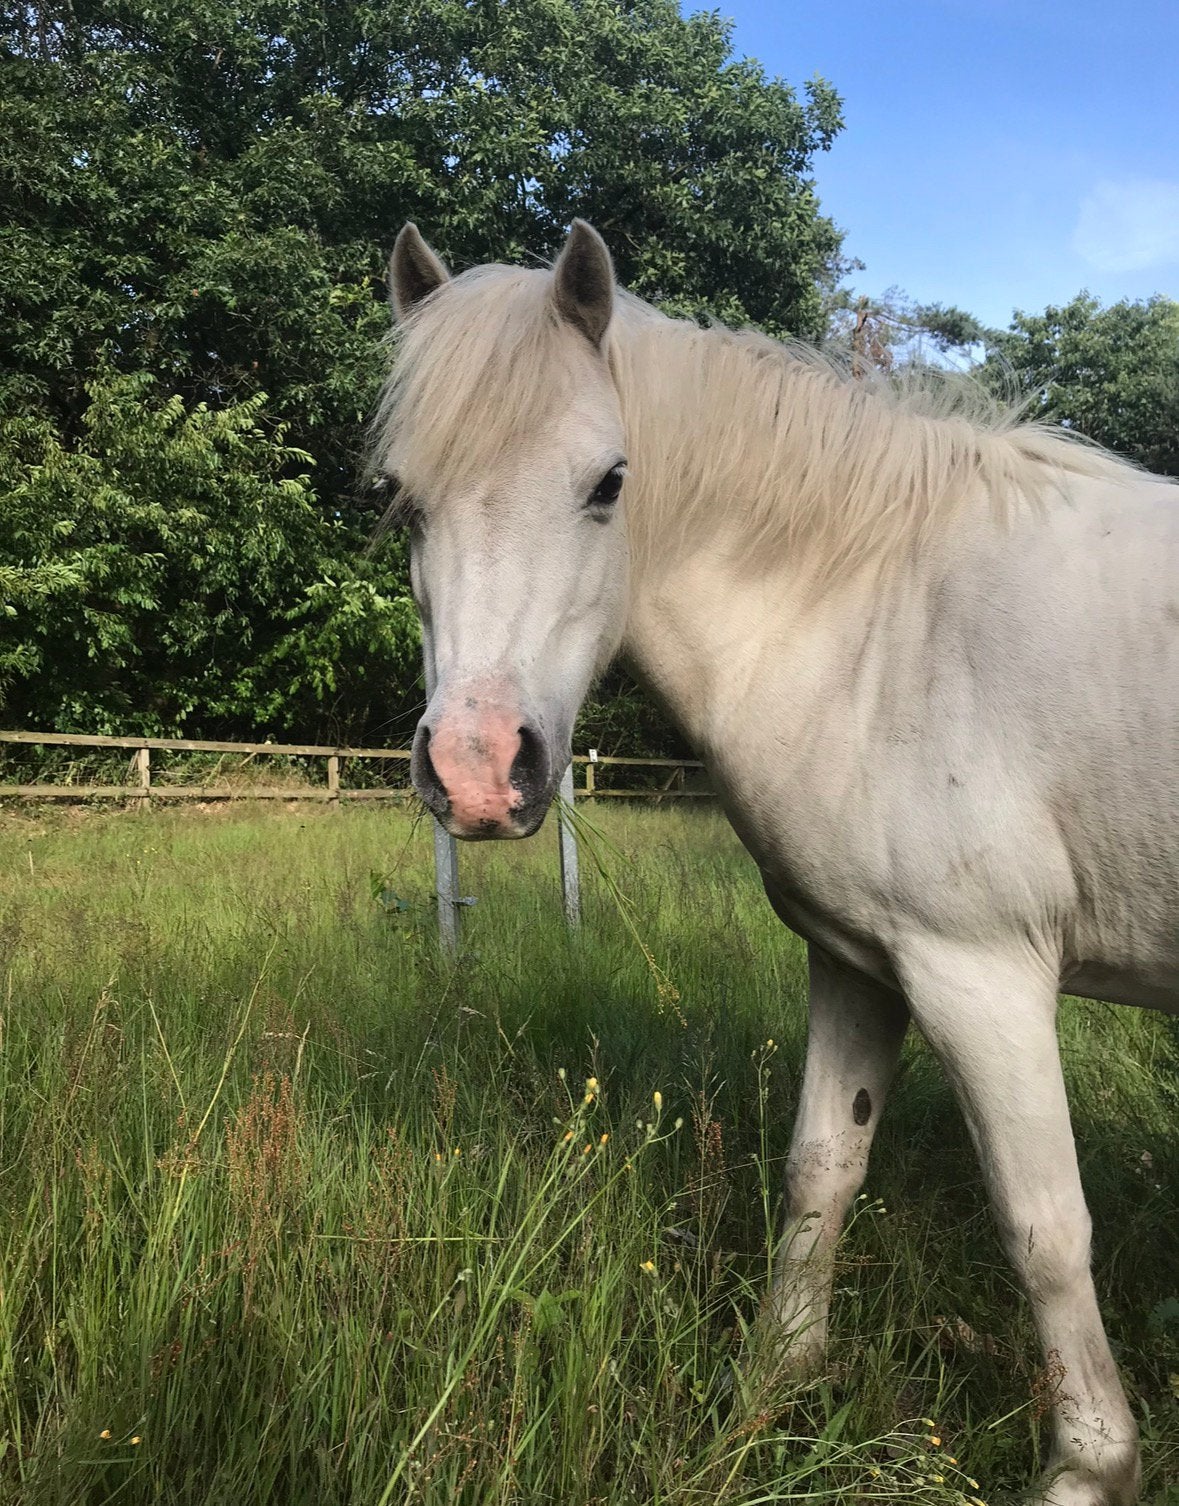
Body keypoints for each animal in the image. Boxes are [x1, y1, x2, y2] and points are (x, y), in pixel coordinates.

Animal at [372, 219, 1178, 1506]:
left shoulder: (984, 977)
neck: (884, 616)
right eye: (397, 497)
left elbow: (1045, 1226)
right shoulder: (863, 964)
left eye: (609, 482)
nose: (480, 771)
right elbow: (821, 1171)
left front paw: (1088, 1469)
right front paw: (769, 1392)